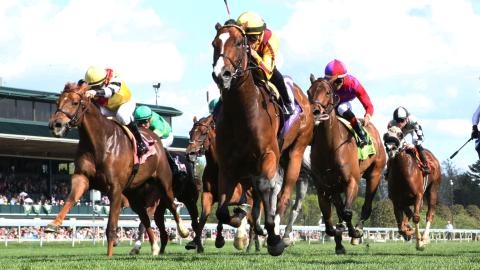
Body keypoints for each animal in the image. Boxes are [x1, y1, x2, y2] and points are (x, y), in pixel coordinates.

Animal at [47, 83, 189, 256]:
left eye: (74, 102)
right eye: (57, 102)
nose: (56, 125)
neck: (100, 142)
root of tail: (155, 139)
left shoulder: (115, 188)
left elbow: (111, 227)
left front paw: (109, 256)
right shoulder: (82, 177)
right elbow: (71, 199)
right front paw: (53, 224)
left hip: (163, 182)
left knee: (172, 205)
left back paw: (183, 231)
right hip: (134, 195)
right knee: (145, 218)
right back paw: (153, 247)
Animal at [187, 115, 262, 253]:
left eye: (203, 133)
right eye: (190, 132)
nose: (190, 153)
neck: (216, 166)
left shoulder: (234, 196)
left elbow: (222, 213)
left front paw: (220, 239)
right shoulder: (208, 195)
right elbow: (204, 218)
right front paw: (197, 244)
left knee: (253, 224)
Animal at [212, 23, 314, 255]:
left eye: (239, 43)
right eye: (214, 43)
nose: (222, 74)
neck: (242, 112)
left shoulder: (268, 154)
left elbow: (267, 187)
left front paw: (272, 236)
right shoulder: (227, 164)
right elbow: (223, 209)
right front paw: (238, 221)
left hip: (295, 152)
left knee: (283, 195)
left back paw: (280, 235)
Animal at [308, 75, 386, 254]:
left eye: (327, 92)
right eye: (308, 92)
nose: (315, 111)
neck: (329, 146)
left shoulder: (352, 181)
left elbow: (348, 212)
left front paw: (354, 232)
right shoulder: (323, 187)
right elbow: (330, 221)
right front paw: (338, 234)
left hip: (375, 174)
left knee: (366, 206)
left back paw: (358, 230)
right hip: (336, 187)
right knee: (340, 209)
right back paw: (340, 242)